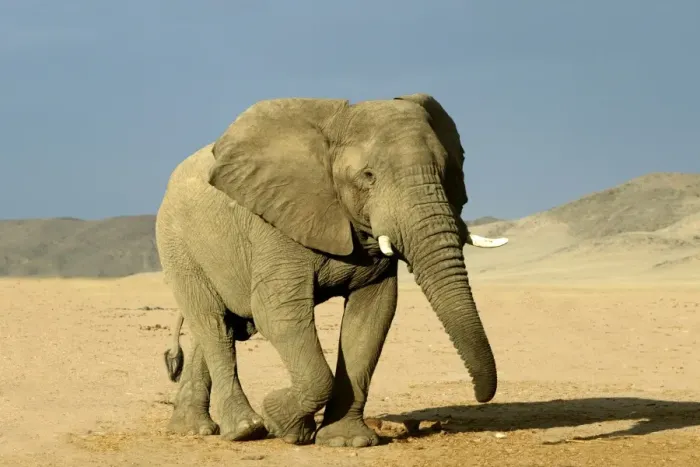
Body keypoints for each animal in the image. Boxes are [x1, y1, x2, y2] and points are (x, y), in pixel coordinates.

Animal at [154, 93, 509, 448]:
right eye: (368, 176)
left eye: (447, 171)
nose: (480, 395)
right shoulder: (275, 224)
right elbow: (277, 313)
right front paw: (279, 421)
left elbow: (371, 317)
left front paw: (345, 441)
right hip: (177, 244)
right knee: (213, 324)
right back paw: (245, 429)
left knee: (219, 328)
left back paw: (192, 428)